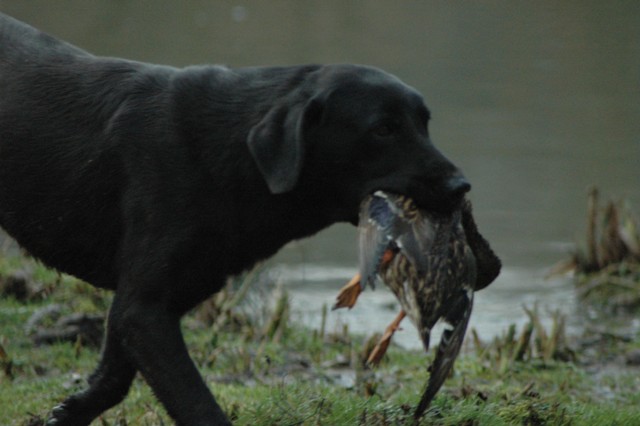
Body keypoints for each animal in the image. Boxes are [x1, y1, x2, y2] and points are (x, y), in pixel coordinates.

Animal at [0, 13, 470, 426]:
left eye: (424, 123)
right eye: (383, 130)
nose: (461, 186)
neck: (231, 154)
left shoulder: (140, 302)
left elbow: (114, 375)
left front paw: (70, 411)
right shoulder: (145, 308)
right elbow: (196, 403)